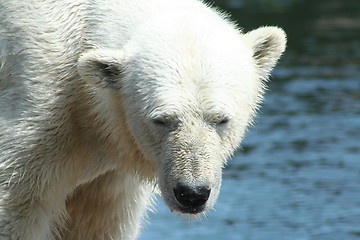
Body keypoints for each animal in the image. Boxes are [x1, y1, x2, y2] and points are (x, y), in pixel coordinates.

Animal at [0, 0, 286, 239]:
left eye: (221, 120)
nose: (192, 194)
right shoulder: (39, 116)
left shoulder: (109, 180)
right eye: (161, 120)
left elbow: (95, 222)